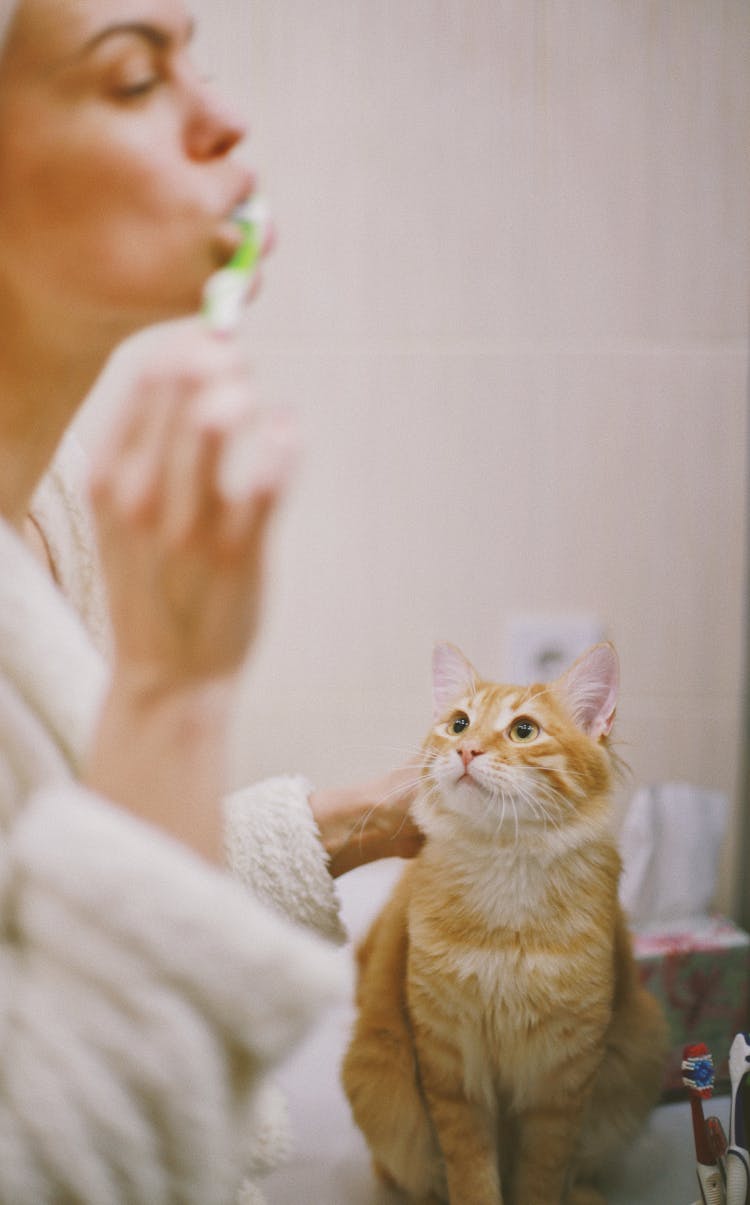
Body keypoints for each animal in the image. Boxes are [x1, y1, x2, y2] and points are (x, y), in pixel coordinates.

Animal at [344, 645, 665, 1205]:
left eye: (523, 731)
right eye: (458, 723)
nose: (467, 750)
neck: (505, 866)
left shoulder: (563, 1076)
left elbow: (543, 1174)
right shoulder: (451, 1061)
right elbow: (471, 1172)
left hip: (637, 1057)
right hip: (376, 1076)